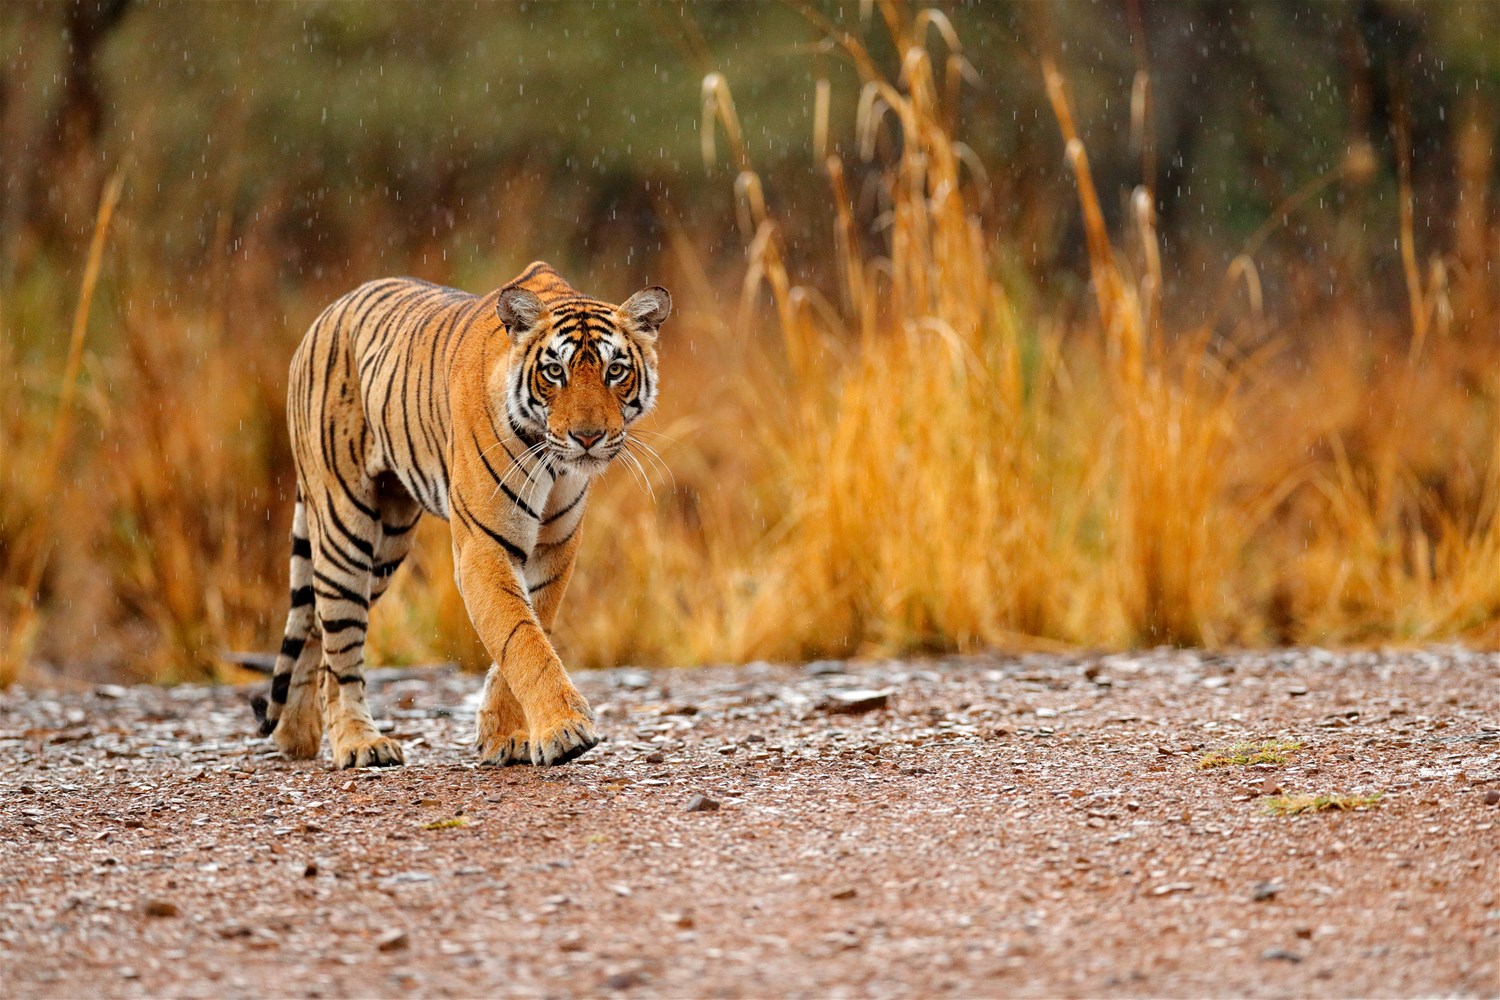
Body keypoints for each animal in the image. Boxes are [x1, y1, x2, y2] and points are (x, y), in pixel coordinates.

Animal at [249, 262, 672, 773]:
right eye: (555, 372)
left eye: (615, 371)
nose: (587, 437)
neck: (553, 462)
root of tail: (325, 315)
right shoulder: (484, 546)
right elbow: (520, 638)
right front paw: (565, 730)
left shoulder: (554, 548)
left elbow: (529, 630)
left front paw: (503, 736)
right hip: (344, 525)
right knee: (340, 640)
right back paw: (358, 743)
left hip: (387, 541)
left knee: (315, 623)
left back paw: (297, 735)